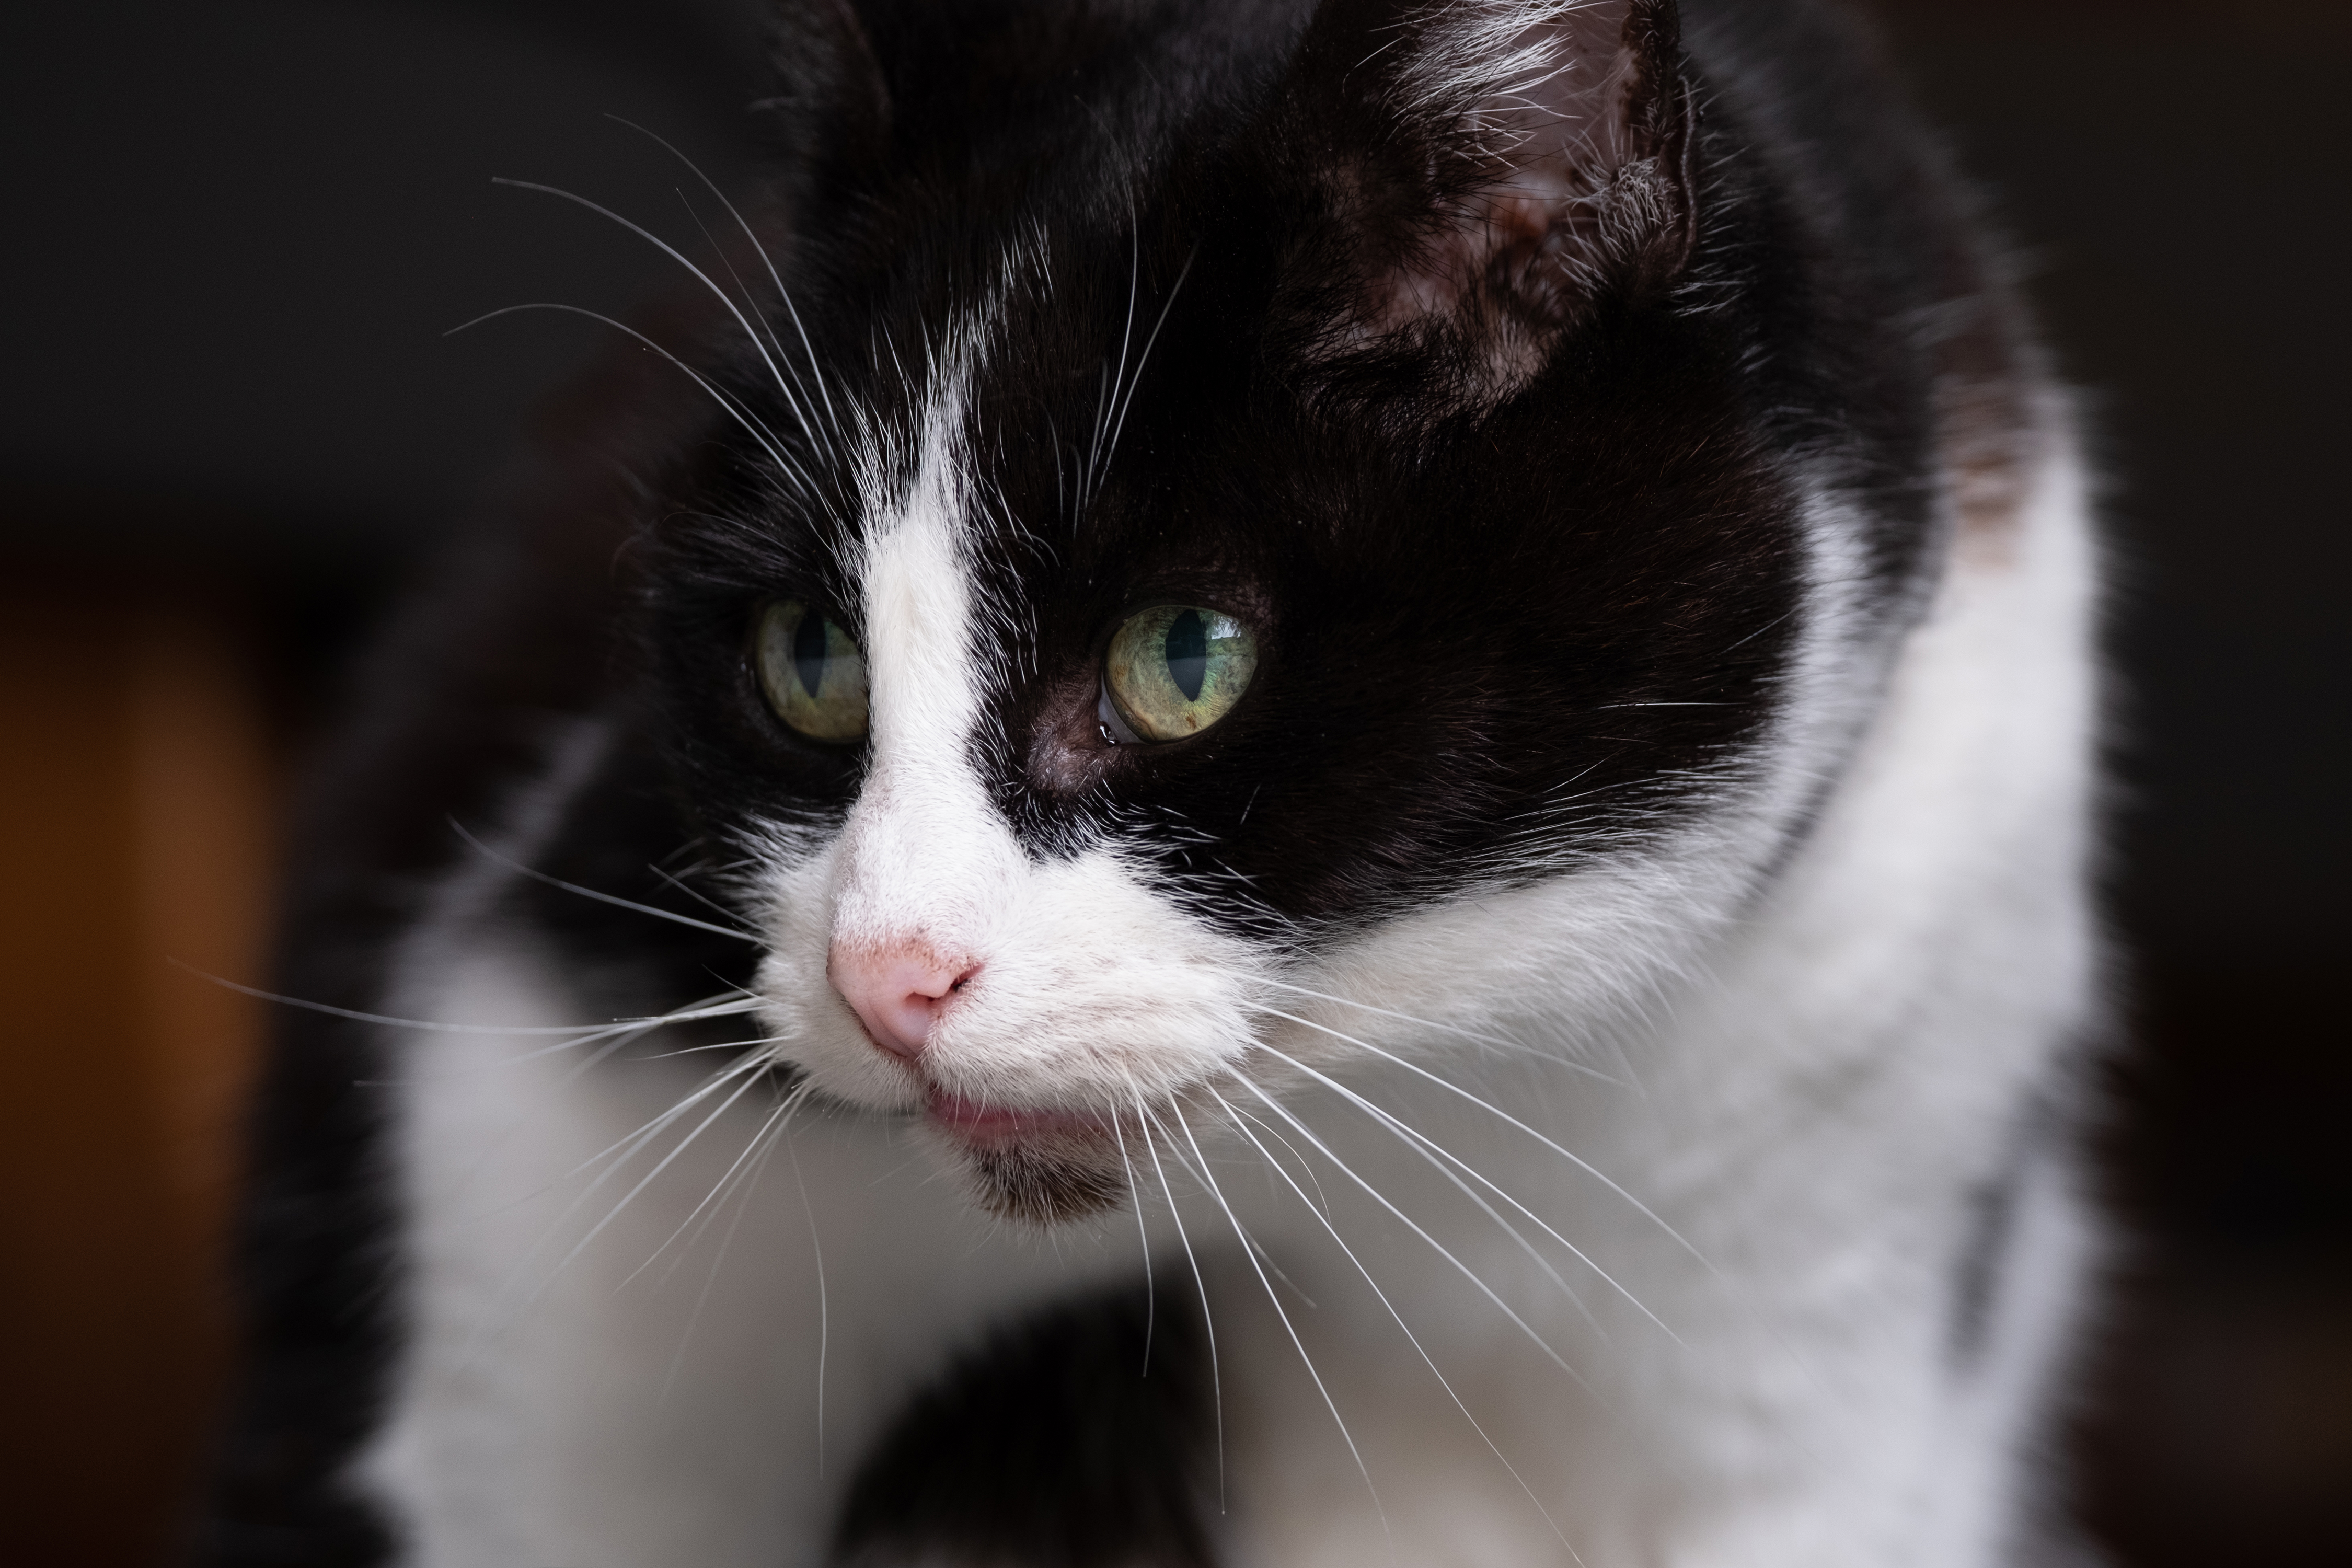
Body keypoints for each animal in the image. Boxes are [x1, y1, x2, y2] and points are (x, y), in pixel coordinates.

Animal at [207, 3, 2117, 1568]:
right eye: (810, 659)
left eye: (1183, 661)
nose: (884, 976)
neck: (1431, 1138)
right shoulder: (554, 1115)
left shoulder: (1846, 1220)